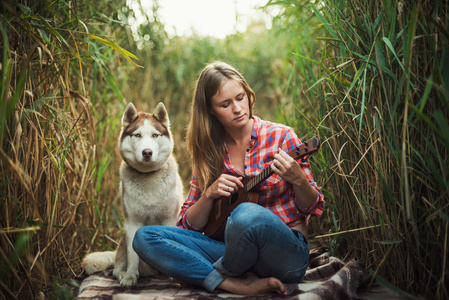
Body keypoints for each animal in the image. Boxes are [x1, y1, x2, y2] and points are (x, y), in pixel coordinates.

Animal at [81, 102, 183, 286]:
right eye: (137, 135)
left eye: (155, 135)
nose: (147, 152)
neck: (149, 178)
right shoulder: (132, 223)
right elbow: (132, 255)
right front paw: (129, 277)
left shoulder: (170, 219)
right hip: (122, 242)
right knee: (116, 268)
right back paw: (124, 273)